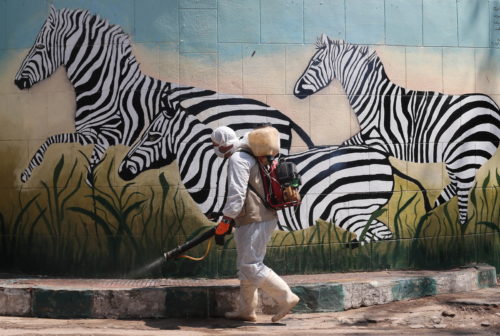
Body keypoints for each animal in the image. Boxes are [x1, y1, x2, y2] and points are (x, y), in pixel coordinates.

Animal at [13, 6, 312, 186]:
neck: (108, 86)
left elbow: (77, 156)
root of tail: (283, 115)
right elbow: (53, 143)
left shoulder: (109, 133)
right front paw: (29, 175)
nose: (17, 82)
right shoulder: (90, 134)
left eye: (39, 47)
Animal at [119, 100, 396, 242]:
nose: (122, 171)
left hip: (351, 209)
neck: (211, 169)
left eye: (152, 136)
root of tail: (381, 155)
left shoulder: (230, 213)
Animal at [292, 34, 500, 224]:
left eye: (316, 62)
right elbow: (343, 151)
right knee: (456, 187)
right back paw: (429, 211)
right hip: (458, 159)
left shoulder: (378, 142)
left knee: (463, 195)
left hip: (465, 156)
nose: (295, 91)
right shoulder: (366, 139)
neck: (375, 101)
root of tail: (493, 105)